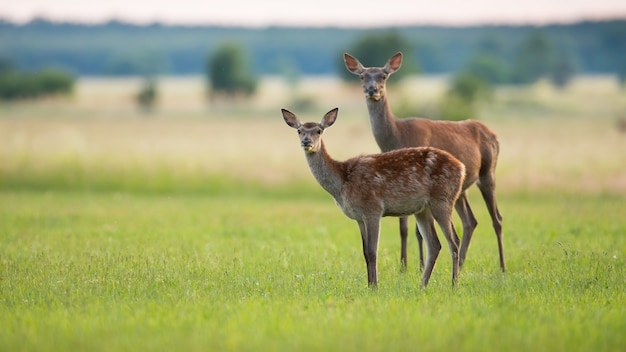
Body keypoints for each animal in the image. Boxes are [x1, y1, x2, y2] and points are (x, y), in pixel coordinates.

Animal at [280, 108, 466, 288]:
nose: (306, 142)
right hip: (423, 209)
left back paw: (454, 284)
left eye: (319, 130)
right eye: (299, 130)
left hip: (442, 199)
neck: (343, 181)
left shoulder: (373, 208)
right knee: (435, 244)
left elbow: (372, 250)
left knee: (454, 241)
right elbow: (364, 252)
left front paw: (375, 285)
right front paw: (369, 285)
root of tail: (461, 167)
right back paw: (423, 285)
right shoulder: (358, 217)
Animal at [342, 51, 502, 272]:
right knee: (471, 221)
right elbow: (403, 228)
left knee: (497, 219)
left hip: (488, 172)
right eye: (362, 76)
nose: (372, 90)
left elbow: (417, 231)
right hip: (461, 190)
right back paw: (461, 264)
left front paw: (417, 265)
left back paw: (502, 267)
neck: (397, 137)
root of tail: (495, 136)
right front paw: (403, 266)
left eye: (384, 76)